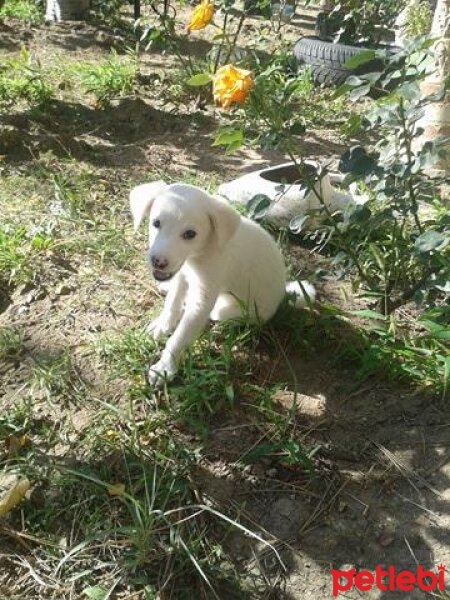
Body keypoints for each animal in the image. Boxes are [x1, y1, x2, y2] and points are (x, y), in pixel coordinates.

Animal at [128, 180, 314, 384]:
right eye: (156, 223)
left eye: (190, 234)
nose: (158, 262)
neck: (201, 253)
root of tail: (283, 295)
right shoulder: (183, 273)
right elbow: (173, 302)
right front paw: (163, 324)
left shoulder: (203, 298)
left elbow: (181, 336)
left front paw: (165, 367)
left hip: (236, 312)